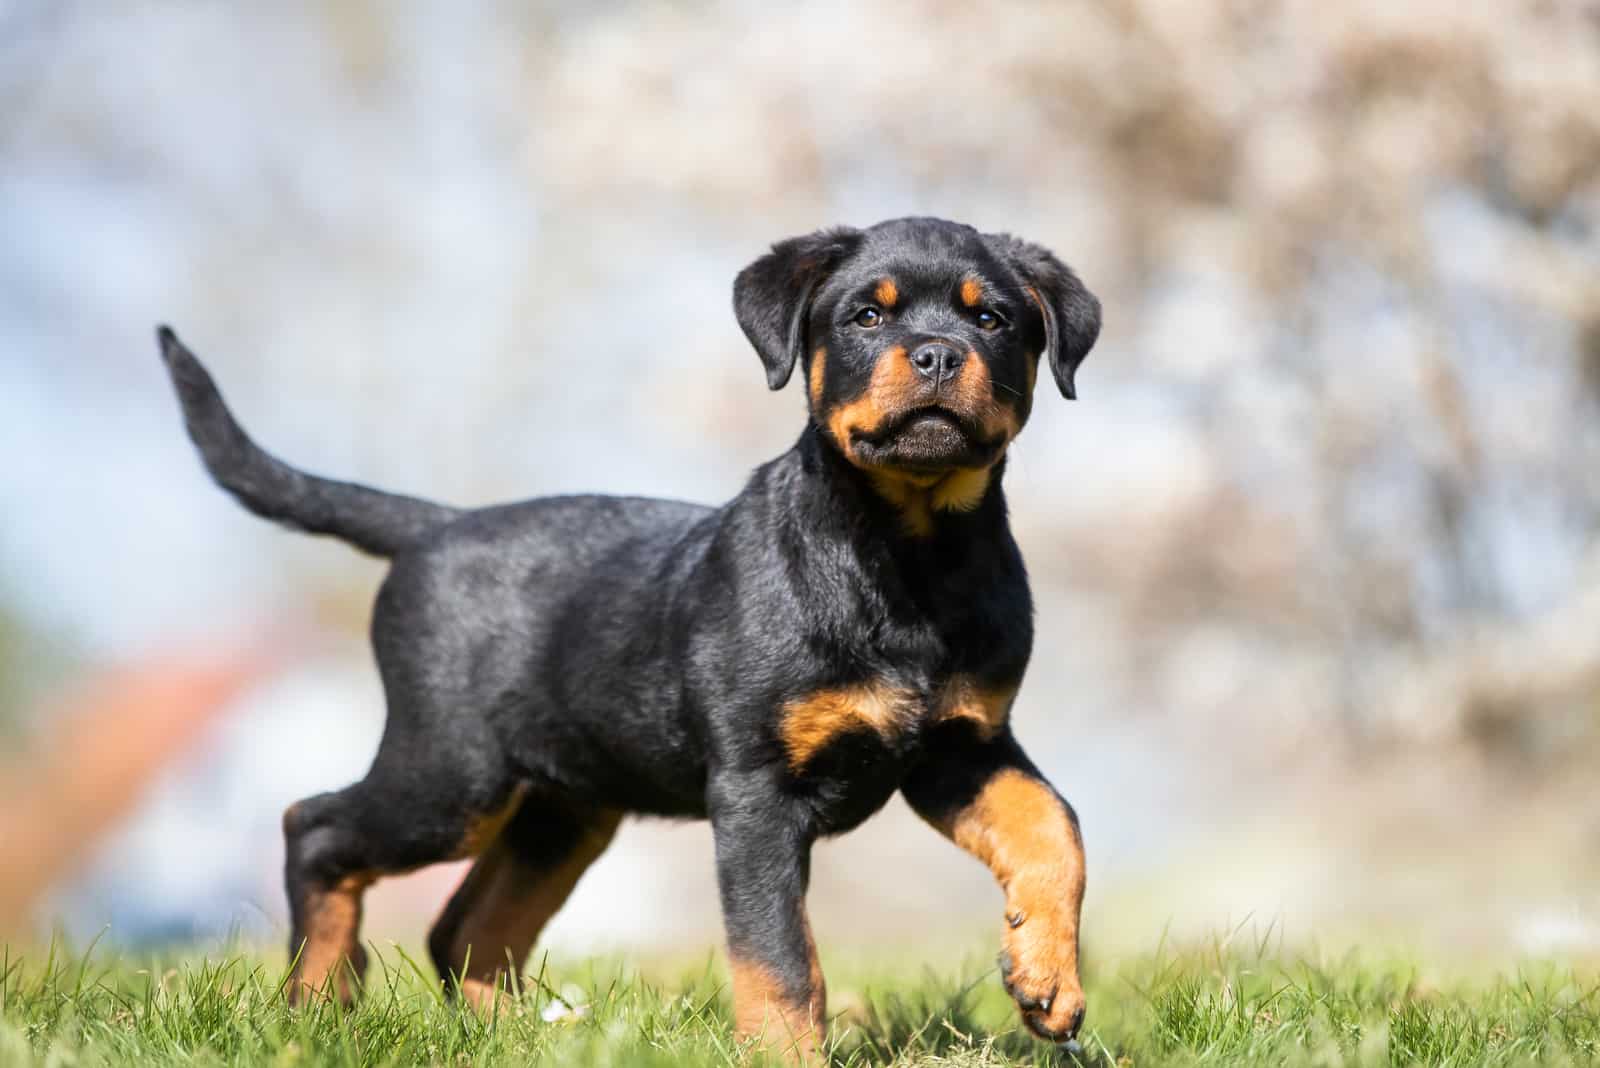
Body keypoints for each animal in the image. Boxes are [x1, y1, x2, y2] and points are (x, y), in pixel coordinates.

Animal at [156, 212, 1100, 1055]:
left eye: (992, 319)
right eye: (868, 315)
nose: (939, 352)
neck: (913, 553)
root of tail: (435, 526)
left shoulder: (961, 748)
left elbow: (1053, 826)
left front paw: (1047, 979)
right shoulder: (756, 792)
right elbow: (781, 957)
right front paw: (785, 1054)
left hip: (563, 808)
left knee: (466, 928)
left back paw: (522, 1038)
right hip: (452, 774)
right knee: (315, 828)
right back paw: (317, 1004)